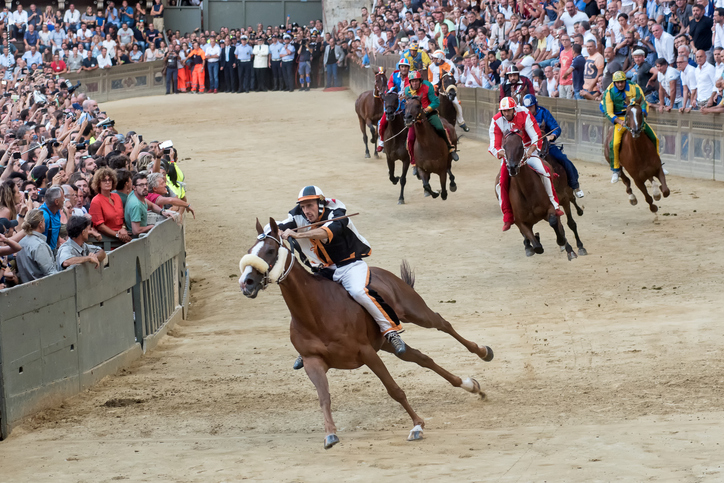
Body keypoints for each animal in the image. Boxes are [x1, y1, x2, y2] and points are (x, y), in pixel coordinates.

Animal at [240, 219, 494, 450]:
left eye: (270, 250)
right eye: (249, 251)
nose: (246, 283)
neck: (315, 312)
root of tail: (385, 274)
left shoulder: (367, 353)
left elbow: (394, 390)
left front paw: (417, 425)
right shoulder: (314, 361)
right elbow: (324, 398)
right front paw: (330, 434)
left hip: (415, 313)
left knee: (443, 323)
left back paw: (483, 352)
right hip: (386, 343)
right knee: (421, 357)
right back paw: (471, 386)